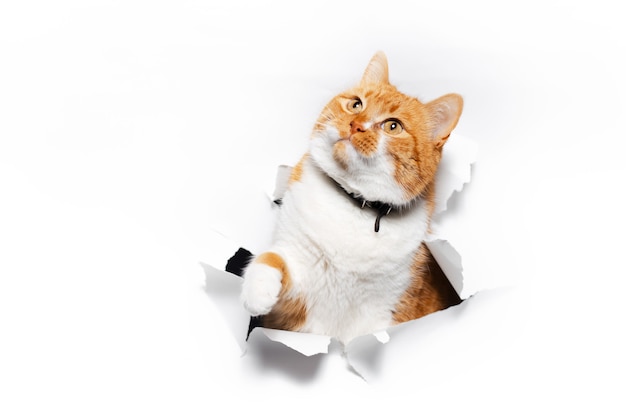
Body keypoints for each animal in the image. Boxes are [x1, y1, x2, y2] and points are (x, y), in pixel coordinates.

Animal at [239, 52, 464, 344]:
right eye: (356, 104)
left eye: (393, 126)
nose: (355, 125)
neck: (354, 203)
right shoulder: (293, 309)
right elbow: (272, 258)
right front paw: (257, 290)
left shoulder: (388, 310)